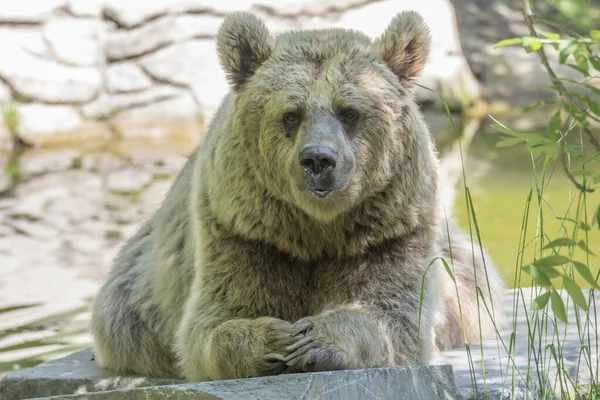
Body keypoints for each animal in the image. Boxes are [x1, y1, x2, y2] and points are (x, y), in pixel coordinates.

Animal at [89, 10, 506, 382]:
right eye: (291, 114)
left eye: (350, 112)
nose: (318, 159)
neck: (316, 226)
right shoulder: (243, 231)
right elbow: (210, 324)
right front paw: (271, 340)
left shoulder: (389, 230)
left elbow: (393, 315)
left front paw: (316, 339)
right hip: (133, 295)